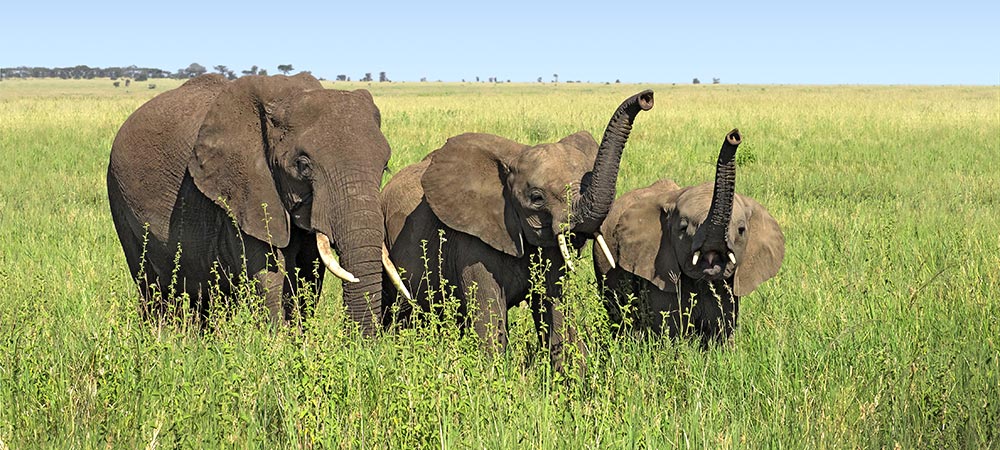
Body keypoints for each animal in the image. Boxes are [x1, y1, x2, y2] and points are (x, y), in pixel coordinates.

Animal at [106, 73, 394, 334]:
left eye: (385, 167)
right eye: (302, 166)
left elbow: (309, 272)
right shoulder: (242, 191)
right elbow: (270, 271)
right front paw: (278, 345)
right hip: (119, 198)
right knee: (151, 285)